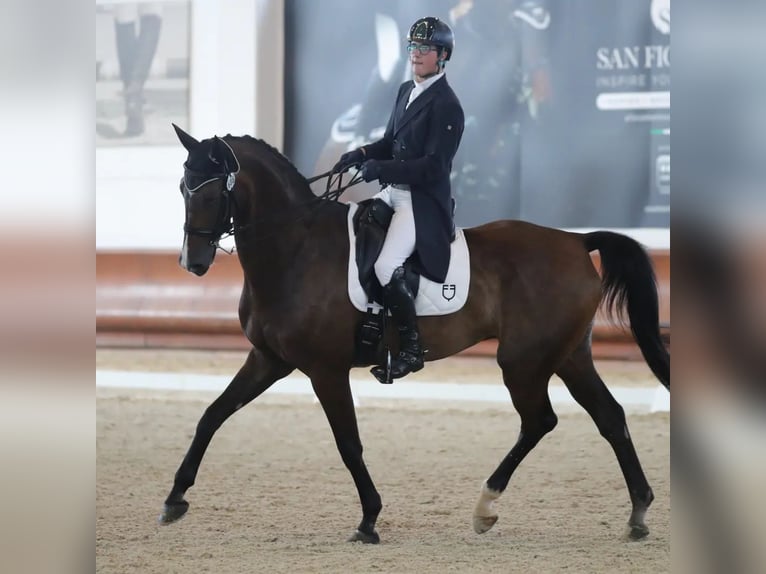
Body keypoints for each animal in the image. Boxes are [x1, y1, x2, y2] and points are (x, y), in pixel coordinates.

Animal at [162, 125, 672, 544]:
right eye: (184, 188)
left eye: (212, 192)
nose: (193, 262)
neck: (295, 250)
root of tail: (575, 241)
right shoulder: (268, 359)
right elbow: (211, 415)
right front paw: (174, 500)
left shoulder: (325, 370)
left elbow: (348, 443)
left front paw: (369, 520)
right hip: (567, 355)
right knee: (609, 417)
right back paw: (638, 513)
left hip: (523, 361)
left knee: (539, 421)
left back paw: (485, 508)